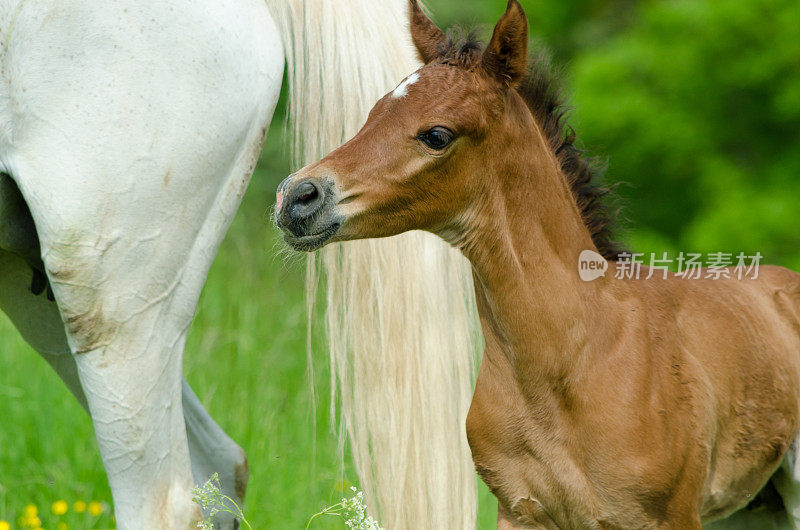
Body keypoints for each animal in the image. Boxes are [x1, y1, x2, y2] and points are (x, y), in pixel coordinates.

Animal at [278, 1, 800, 524]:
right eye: (373, 113)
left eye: (437, 135)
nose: (297, 198)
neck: (572, 358)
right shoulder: (519, 511)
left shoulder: (667, 517)